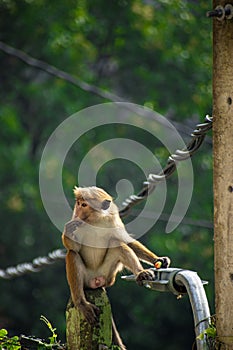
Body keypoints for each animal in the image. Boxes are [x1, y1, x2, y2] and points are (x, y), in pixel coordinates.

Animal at [62, 186, 170, 328]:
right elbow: (74, 248)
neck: (95, 220)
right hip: (86, 278)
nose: (78, 210)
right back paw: (81, 303)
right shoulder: (76, 220)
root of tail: (96, 281)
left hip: (108, 275)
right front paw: (68, 231)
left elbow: (125, 241)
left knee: (116, 244)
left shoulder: (112, 219)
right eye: (78, 203)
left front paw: (157, 259)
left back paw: (141, 273)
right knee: (73, 254)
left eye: (84, 205)